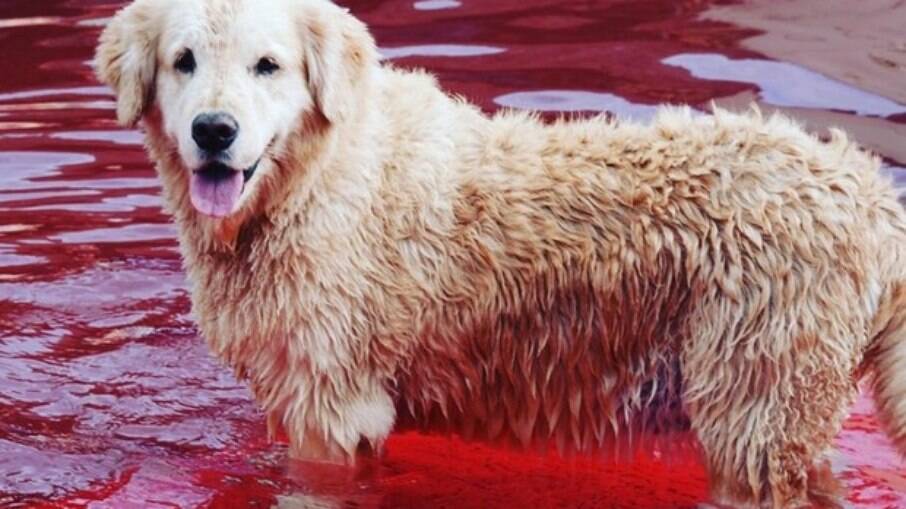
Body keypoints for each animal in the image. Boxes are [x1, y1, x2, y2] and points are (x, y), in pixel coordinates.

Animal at [95, 0, 904, 504]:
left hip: (753, 391)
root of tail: (866, 190)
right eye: (183, 60)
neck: (309, 183)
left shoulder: (331, 400)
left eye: (268, 65)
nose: (214, 130)